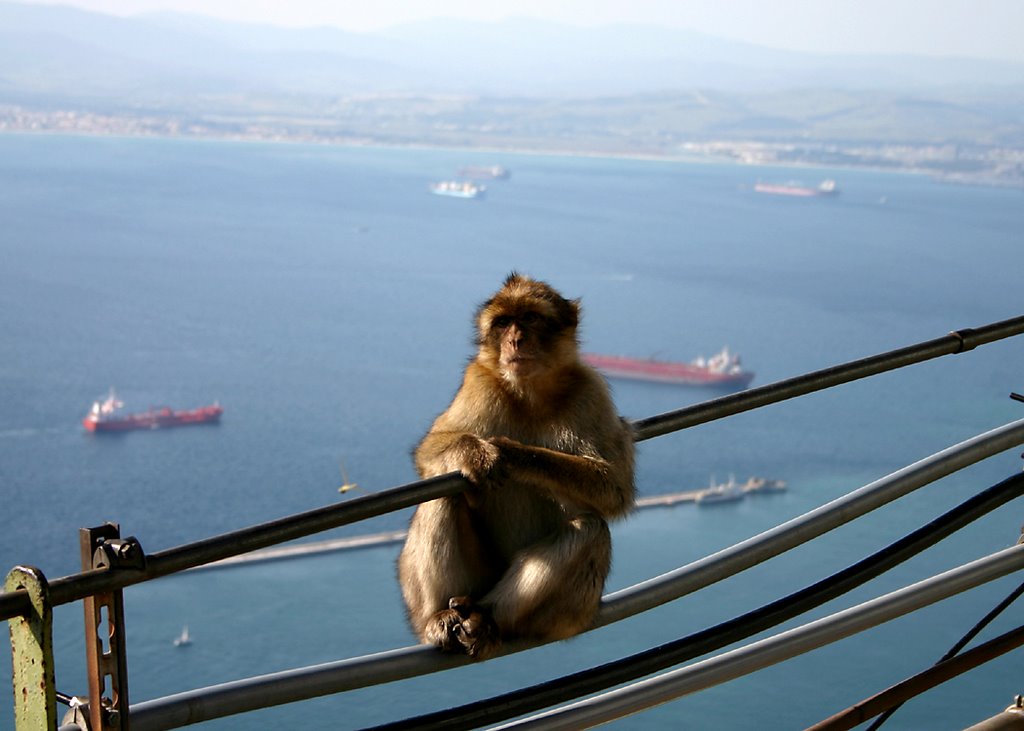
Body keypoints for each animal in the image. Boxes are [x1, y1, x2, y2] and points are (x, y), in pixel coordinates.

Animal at [397, 270, 630, 659]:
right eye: (504, 323)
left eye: (531, 318)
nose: (515, 340)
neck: (531, 393)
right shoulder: (479, 382)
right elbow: (433, 447)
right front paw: (476, 454)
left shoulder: (590, 391)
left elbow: (613, 485)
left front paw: (509, 453)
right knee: (444, 492)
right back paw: (440, 616)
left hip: (568, 614)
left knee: (590, 529)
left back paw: (486, 621)